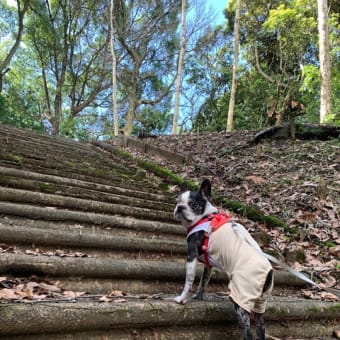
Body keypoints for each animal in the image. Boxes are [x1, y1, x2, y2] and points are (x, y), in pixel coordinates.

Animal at [175, 179, 274, 340]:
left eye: (193, 204)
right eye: (177, 201)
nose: (180, 207)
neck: (205, 217)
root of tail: (269, 272)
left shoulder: (191, 255)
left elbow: (188, 281)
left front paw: (182, 299)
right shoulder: (208, 265)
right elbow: (204, 281)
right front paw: (199, 296)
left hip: (241, 299)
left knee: (248, 332)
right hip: (260, 302)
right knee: (260, 327)